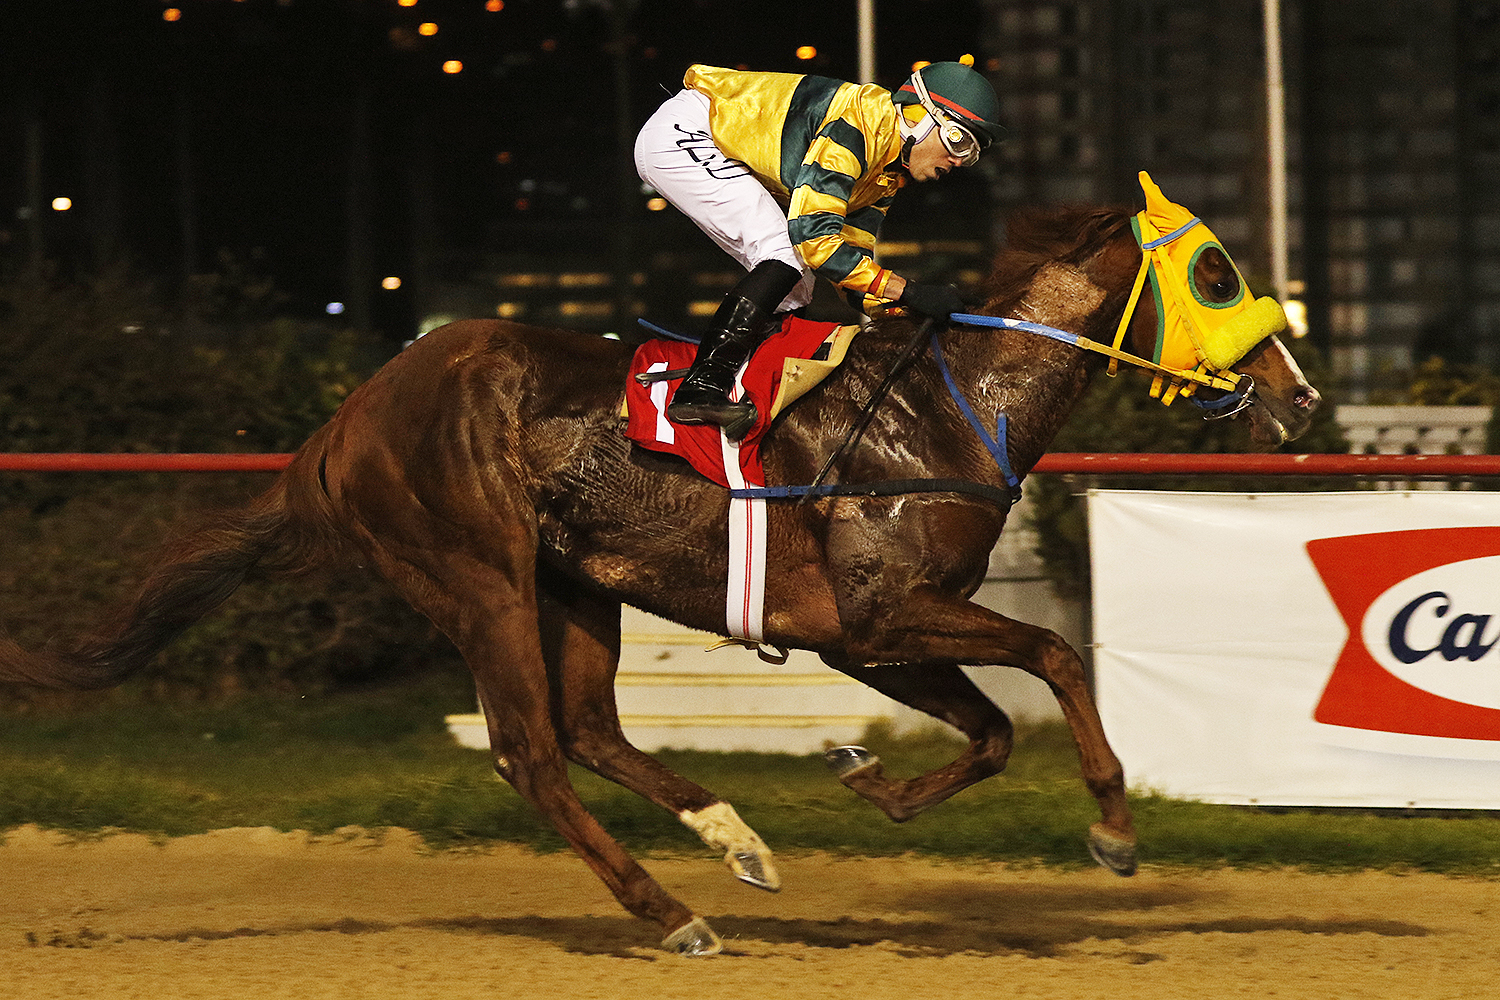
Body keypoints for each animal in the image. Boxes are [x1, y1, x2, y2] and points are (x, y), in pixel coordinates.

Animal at [0, 188, 1319, 955]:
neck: (953, 411)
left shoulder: (873, 634)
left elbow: (993, 727)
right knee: (532, 751)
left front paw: (870, 784)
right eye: (1215, 273)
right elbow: (1050, 652)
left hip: (577, 583)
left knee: (590, 729)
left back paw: (738, 842)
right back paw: (673, 911)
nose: (1302, 398)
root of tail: (343, 423)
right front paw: (1114, 828)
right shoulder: (886, 612)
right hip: (477, 574)